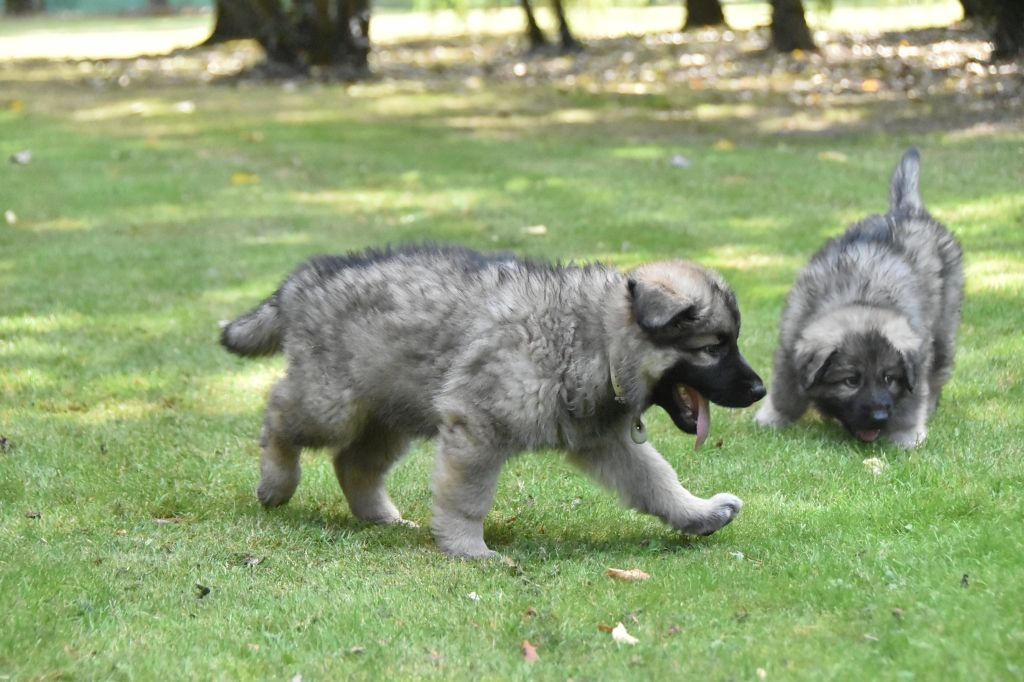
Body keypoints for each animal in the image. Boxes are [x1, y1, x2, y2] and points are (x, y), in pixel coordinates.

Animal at [221, 245, 766, 558]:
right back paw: (276, 483)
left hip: (392, 410)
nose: (760, 390)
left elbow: (656, 480)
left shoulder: (607, 441)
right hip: (333, 403)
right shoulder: (478, 425)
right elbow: (468, 497)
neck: (594, 340)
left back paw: (379, 516)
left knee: (354, 462)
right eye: (714, 347)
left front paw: (697, 513)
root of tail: (302, 282)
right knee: (279, 414)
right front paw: (469, 549)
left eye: (732, 342)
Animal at [756, 149, 964, 448]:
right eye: (851, 381)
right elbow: (786, 390)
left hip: (945, 326)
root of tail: (908, 210)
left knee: (937, 374)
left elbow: (912, 399)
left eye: (889, 378)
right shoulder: (790, 343)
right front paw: (775, 419)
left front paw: (905, 436)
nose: (879, 417)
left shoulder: (917, 353)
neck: (861, 298)